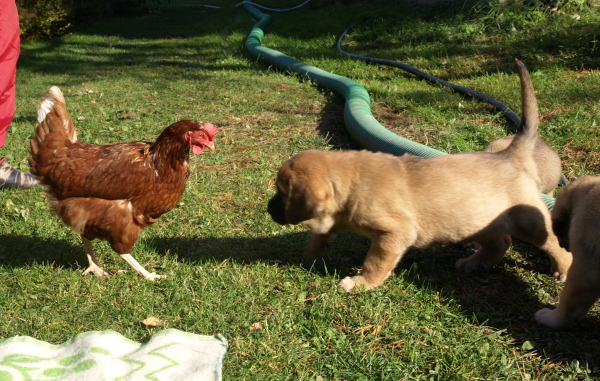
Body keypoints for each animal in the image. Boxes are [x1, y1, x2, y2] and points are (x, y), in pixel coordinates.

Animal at [268, 59, 572, 290]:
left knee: (554, 244)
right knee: (500, 243)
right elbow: (325, 229)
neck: (353, 180)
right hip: (478, 220)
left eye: (283, 193)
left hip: (529, 222)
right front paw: (314, 248)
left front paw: (361, 282)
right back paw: (475, 262)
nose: (269, 208)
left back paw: (563, 269)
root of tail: (510, 154)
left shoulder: (393, 235)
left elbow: (374, 262)